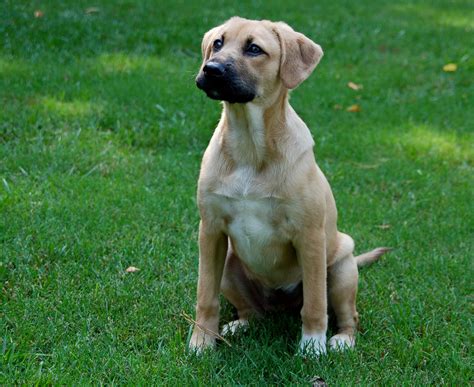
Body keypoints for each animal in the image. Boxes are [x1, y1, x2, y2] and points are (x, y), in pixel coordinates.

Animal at [189, 18, 388, 358]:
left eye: (254, 49)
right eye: (217, 43)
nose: (211, 70)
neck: (250, 146)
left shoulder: (309, 236)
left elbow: (315, 303)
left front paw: (312, 346)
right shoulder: (211, 231)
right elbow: (206, 296)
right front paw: (201, 342)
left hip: (342, 270)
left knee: (348, 315)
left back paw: (341, 340)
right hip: (229, 263)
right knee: (253, 312)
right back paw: (239, 325)